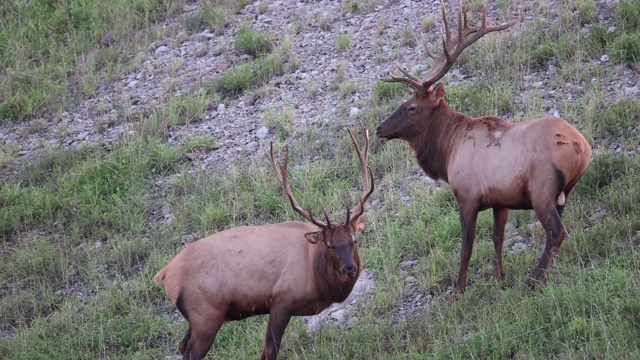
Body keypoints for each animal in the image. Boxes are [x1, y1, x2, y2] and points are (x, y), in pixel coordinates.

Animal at [156, 125, 376, 358]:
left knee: (182, 346)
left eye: (354, 240)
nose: (350, 269)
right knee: (191, 352)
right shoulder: (281, 301)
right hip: (205, 313)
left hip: (198, 317)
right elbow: (269, 351)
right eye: (330, 245)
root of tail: (165, 274)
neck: (317, 277)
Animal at [378, 0, 592, 292]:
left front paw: (459, 288)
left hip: (542, 190)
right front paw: (500, 276)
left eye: (410, 107)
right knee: (553, 233)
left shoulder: (468, 197)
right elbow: (497, 237)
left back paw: (536, 278)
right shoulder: (500, 201)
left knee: (557, 232)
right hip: (563, 194)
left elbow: (466, 246)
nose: (380, 128)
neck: (448, 151)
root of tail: (582, 148)